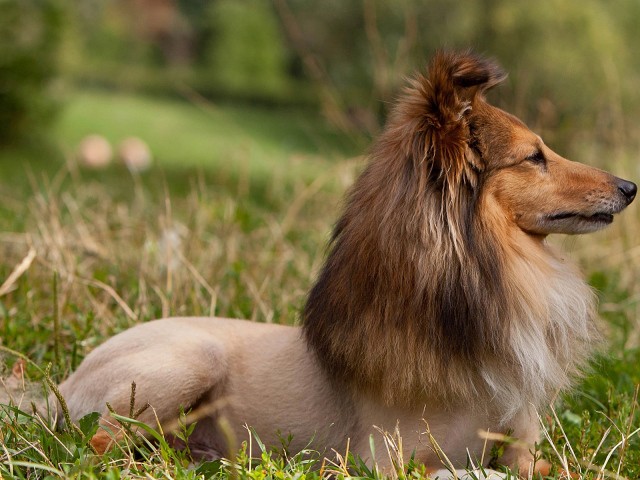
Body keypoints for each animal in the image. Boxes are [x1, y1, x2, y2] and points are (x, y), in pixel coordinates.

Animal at [53, 51, 636, 472]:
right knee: (101, 443)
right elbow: (468, 471)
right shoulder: (389, 461)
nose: (629, 187)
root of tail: (62, 387)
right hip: (190, 360)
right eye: (534, 157)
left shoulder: (524, 450)